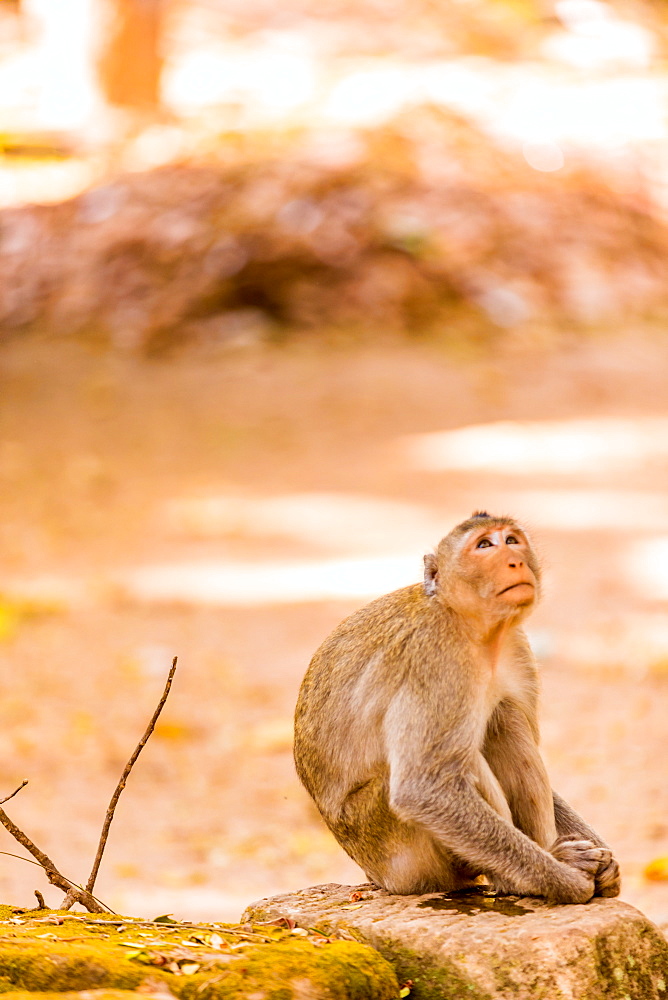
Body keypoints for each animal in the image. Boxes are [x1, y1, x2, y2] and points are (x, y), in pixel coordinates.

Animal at [294, 512, 620, 904]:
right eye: (484, 545)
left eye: (512, 540)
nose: (515, 560)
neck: (474, 628)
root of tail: (376, 877)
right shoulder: (435, 662)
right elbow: (424, 788)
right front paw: (565, 881)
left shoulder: (519, 649)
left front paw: (605, 866)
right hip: (396, 851)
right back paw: (520, 878)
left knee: (505, 718)